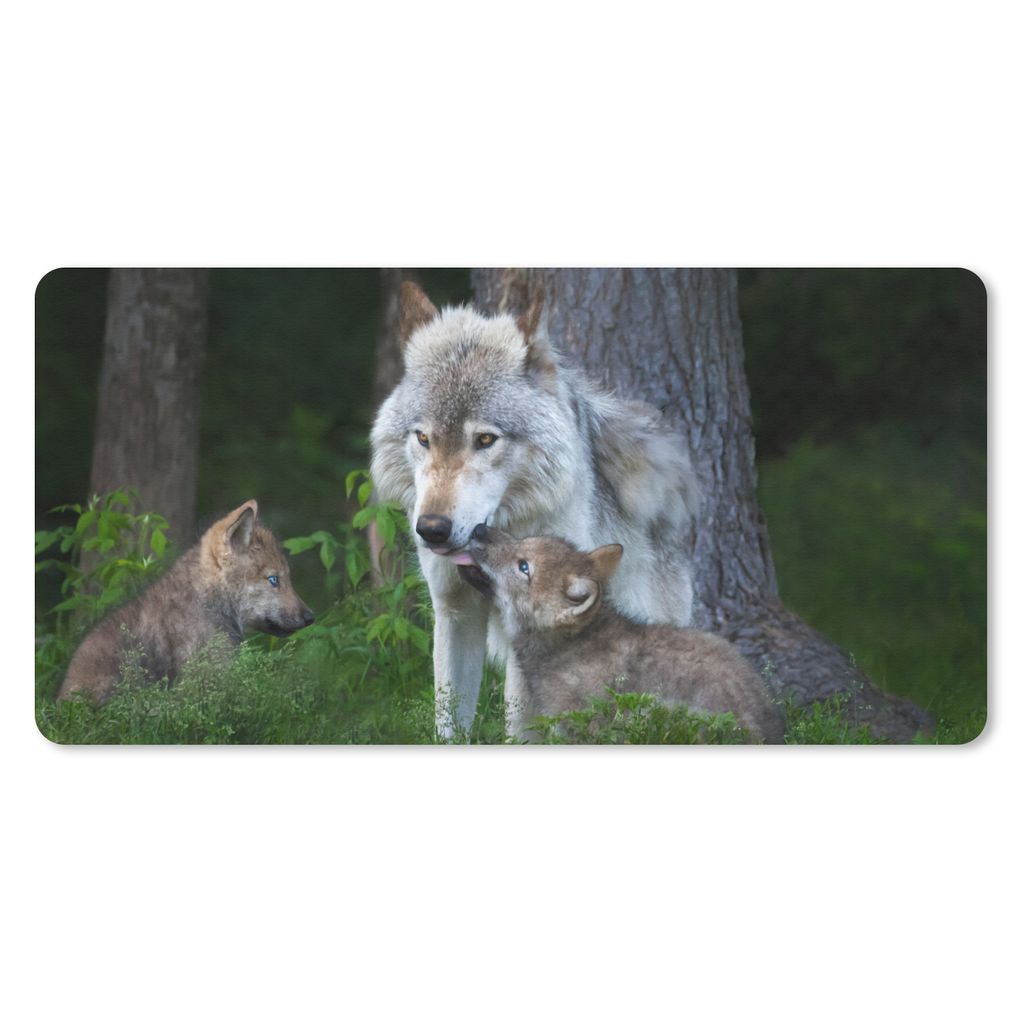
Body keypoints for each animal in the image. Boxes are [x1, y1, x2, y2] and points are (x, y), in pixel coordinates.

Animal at [370, 282, 700, 737]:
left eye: (485, 440)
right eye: (423, 438)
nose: (432, 529)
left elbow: (521, 730)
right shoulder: (454, 613)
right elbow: (449, 724)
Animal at [468, 527, 784, 743]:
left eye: (523, 567)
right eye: (522, 540)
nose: (480, 528)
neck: (567, 647)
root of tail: (767, 731)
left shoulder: (579, 725)